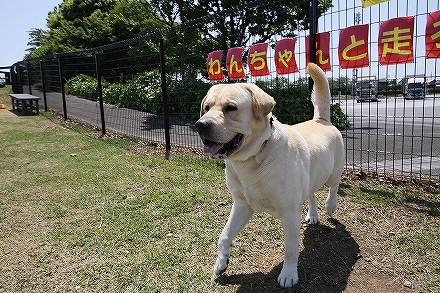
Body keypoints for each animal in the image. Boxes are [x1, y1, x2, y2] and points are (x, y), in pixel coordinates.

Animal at [195, 62, 344, 286]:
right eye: (206, 108)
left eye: (231, 108)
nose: (200, 125)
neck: (251, 159)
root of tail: (321, 119)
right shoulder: (242, 205)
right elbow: (224, 235)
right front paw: (221, 262)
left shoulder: (289, 213)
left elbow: (290, 249)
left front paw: (289, 274)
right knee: (311, 193)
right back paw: (313, 214)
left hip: (334, 172)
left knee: (334, 186)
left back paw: (330, 206)